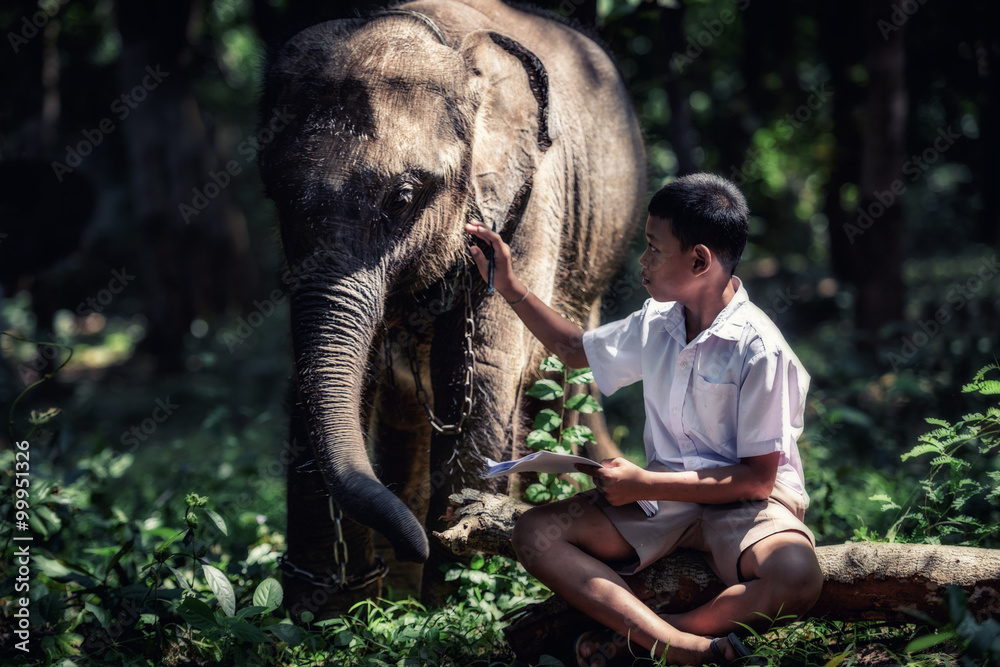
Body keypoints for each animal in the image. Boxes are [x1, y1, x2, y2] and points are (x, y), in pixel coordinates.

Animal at [258, 0, 644, 620]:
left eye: (402, 198)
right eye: (277, 197)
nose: (418, 542)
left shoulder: (532, 201)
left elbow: (481, 371)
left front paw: (451, 602)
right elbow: (332, 376)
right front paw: (324, 618)